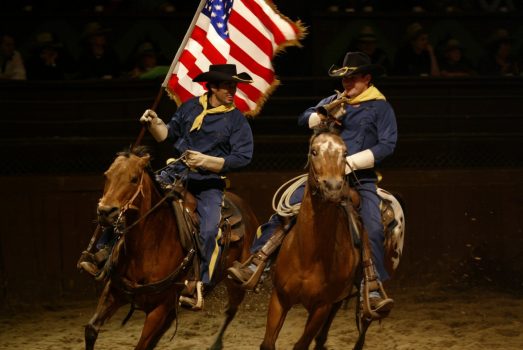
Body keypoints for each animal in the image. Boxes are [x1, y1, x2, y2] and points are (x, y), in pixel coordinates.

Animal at [83, 146, 260, 348]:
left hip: (236, 283)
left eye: (134, 178)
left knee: (231, 310)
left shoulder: (160, 308)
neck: (148, 247)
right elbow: (91, 329)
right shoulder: (114, 291)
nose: (105, 211)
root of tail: (247, 211)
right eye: (107, 175)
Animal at [260, 129, 366, 350]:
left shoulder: (321, 307)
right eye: (314, 151)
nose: (333, 187)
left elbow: (301, 344)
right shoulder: (279, 297)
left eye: (345, 153)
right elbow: (268, 343)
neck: (308, 255)